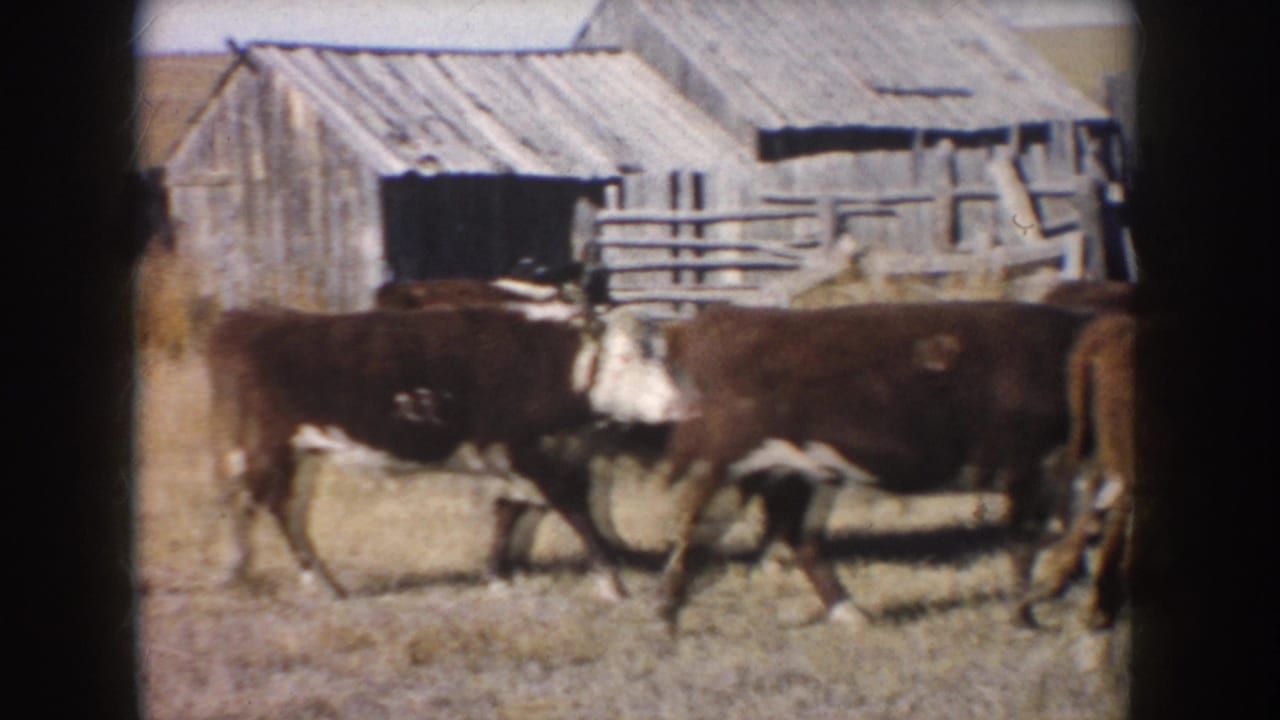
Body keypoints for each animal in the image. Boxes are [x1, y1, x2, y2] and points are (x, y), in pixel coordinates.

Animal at [207, 301, 690, 600]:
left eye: (664, 357)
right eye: (625, 358)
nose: (680, 405)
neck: (552, 362)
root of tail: (252, 318)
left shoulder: (521, 461)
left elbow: (510, 513)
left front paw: (498, 576)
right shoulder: (532, 456)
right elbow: (576, 512)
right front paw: (612, 582)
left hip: (299, 455)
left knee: (276, 510)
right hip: (272, 451)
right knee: (266, 505)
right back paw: (311, 581)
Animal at [651, 302, 1098, 631]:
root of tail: (703, 323)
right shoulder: (1031, 467)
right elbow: (1025, 543)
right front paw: (1025, 617)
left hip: (803, 473)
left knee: (800, 538)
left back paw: (854, 614)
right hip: (729, 463)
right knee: (698, 523)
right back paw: (667, 615)